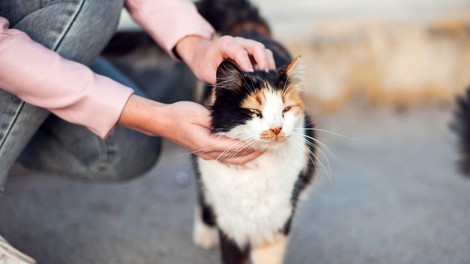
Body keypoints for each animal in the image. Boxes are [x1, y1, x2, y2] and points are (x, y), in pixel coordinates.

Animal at [193, 1, 318, 262]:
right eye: (254, 112)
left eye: (286, 109)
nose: (276, 128)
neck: (259, 169)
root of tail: (250, 31)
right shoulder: (231, 224)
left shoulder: (277, 221)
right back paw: (204, 234)